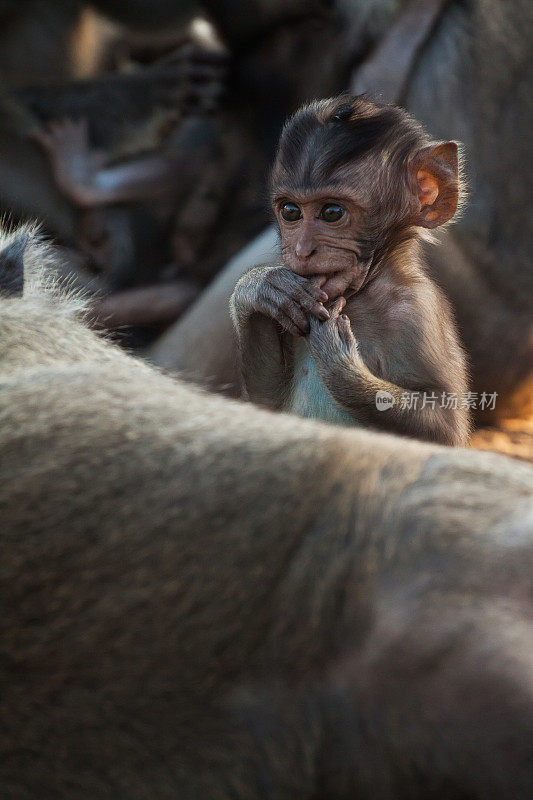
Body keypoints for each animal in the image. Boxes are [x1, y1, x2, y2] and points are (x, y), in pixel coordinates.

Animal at [232, 95, 470, 444]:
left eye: (332, 212)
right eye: (290, 211)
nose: (302, 250)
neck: (365, 293)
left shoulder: (416, 311)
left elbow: (444, 427)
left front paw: (338, 361)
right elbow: (266, 407)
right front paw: (262, 286)